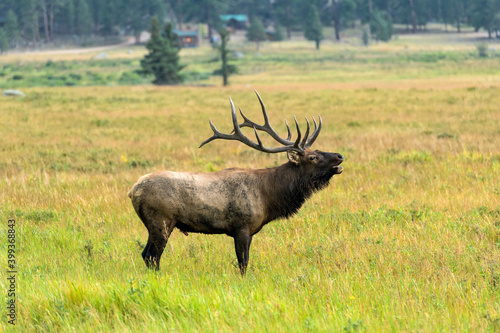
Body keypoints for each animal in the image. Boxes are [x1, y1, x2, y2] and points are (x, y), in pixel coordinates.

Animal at [128, 91, 344, 272]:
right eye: (313, 157)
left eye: (317, 150)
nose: (339, 156)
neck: (269, 197)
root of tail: (133, 191)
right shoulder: (242, 227)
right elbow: (243, 263)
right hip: (161, 221)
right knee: (152, 256)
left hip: (154, 225)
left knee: (145, 254)